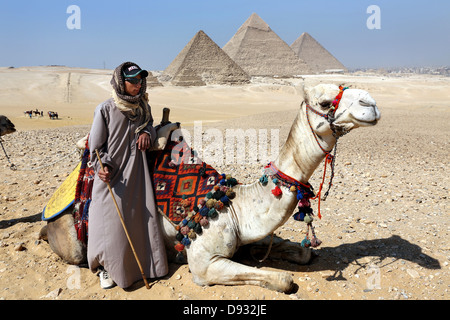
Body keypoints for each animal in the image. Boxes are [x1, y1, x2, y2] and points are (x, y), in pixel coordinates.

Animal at [40, 84, 382, 292]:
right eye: (324, 102)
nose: (372, 103)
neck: (232, 205)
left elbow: (303, 254)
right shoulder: (205, 264)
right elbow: (285, 279)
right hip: (72, 238)